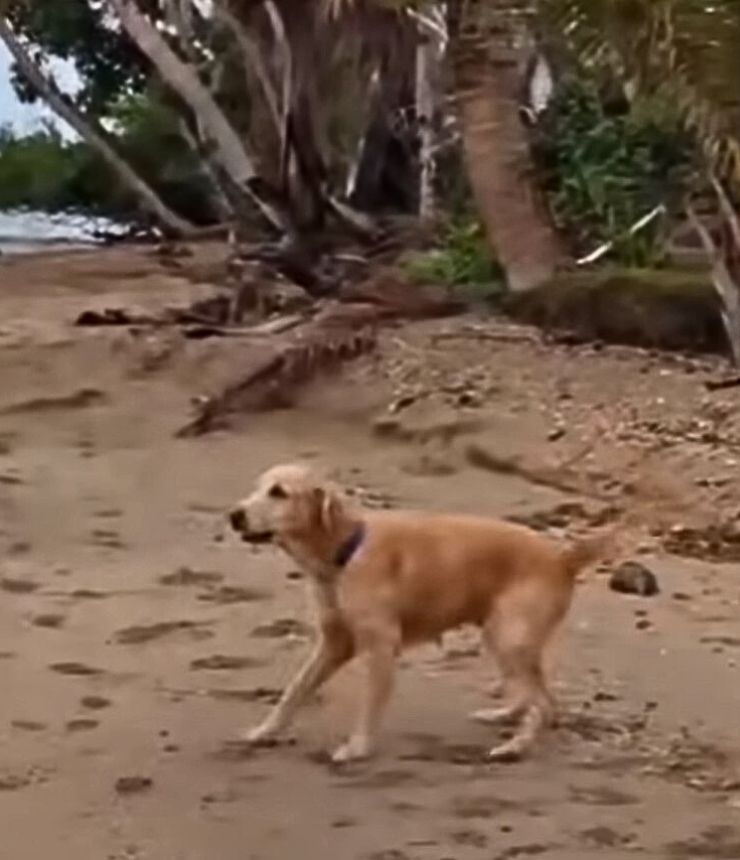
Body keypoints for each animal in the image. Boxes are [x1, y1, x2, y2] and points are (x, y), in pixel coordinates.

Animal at [230, 464, 608, 764]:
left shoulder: (381, 647)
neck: (344, 552)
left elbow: (369, 704)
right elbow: (295, 690)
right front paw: (266, 731)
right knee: (539, 696)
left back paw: (515, 747)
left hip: (508, 637)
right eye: (258, 486)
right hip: (501, 636)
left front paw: (358, 747)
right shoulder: (333, 644)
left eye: (279, 492)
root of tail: (562, 558)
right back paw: (503, 715)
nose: (234, 515)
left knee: (544, 703)